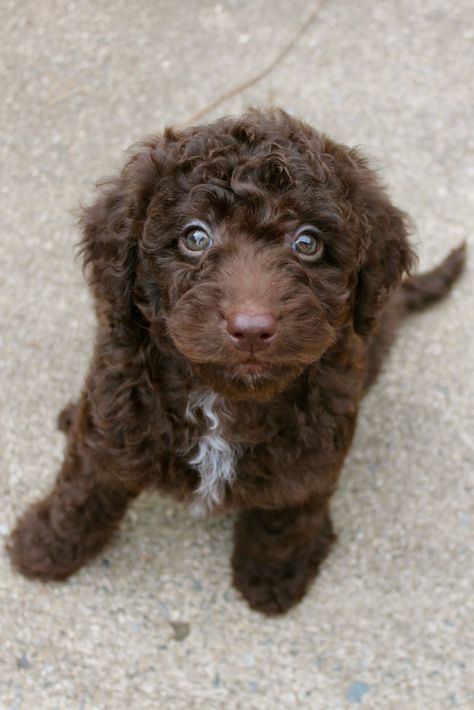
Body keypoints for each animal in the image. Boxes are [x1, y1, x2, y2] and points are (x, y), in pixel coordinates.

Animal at [8, 108, 466, 616]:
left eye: (307, 243)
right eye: (195, 236)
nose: (250, 328)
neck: (223, 399)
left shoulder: (313, 455)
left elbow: (286, 518)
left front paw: (272, 580)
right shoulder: (115, 414)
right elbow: (84, 486)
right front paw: (44, 547)